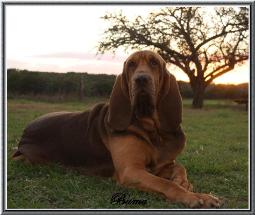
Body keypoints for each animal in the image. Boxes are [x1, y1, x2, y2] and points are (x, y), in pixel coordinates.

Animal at [11, 50, 220, 208]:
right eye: (131, 65)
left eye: (154, 63)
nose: (141, 79)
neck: (150, 129)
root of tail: (24, 134)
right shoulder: (131, 171)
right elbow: (166, 184)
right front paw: (195, 197)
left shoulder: (162, 164)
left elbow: (179, 168)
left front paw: (185, 183)